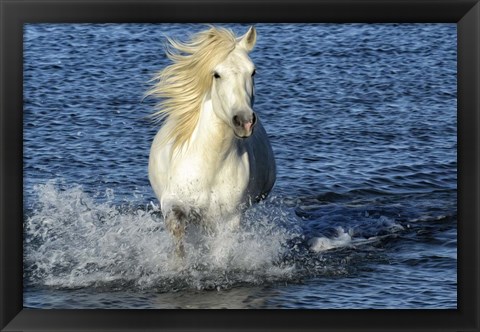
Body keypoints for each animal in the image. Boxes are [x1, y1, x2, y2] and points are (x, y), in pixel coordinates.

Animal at [146, 26, 276, 256]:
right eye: (216, 74)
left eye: (253, 71)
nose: (244, 121)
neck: (211, 165)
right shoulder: (174, 202)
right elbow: (178, 235)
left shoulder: (229, 219)